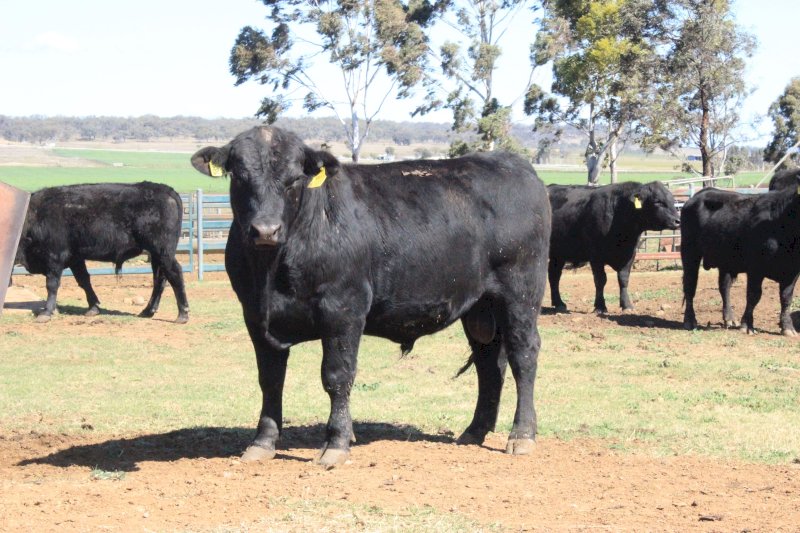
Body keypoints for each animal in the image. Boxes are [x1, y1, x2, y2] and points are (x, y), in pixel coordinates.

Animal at [14, 181, 189, 324]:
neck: (34, 215)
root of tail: (164, 189)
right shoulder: (75, 258)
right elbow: (84, 280)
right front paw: (93, 307)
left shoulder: (55, 257)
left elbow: (52, 285)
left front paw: (46, 312)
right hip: (156, 255)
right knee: (160, 279)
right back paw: (147, 311)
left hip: (163, 252)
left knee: (174, 273)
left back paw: (182, 314)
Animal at [191, 126, 551, 467]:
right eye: (239, 176)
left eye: (294, 180)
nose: (265, 230)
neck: (274, 270)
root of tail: (513, 164)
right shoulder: (256, 316)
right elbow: (270, 380)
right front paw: (262, 442)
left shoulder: (343, 309)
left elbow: (337, 376)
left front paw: (336, 443)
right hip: (480, 308)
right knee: (490, 364)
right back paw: (475, 431)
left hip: (520, 292)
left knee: (523, 355)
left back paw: (522, 435)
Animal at [547, 182, 681, 314]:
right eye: (657, 201)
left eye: (672, 200)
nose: (678, 221)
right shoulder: (596, 256)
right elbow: (600, 280)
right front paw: (600, 307)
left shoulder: (630, 254)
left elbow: (623, 278)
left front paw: (627, 305)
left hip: (558, 255)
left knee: (554, 275)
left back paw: (559, 303)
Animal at [681, 175, 800, 336]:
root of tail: (697, 196)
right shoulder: (755, 268)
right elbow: (753, 295)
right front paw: (747, 325)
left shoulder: (792, 272)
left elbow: (786, 298)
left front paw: (788, 327)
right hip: (690, 253)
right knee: (690, 285)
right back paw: (690, 320)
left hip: (725, 261)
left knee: (724, 287)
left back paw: (729, 319)